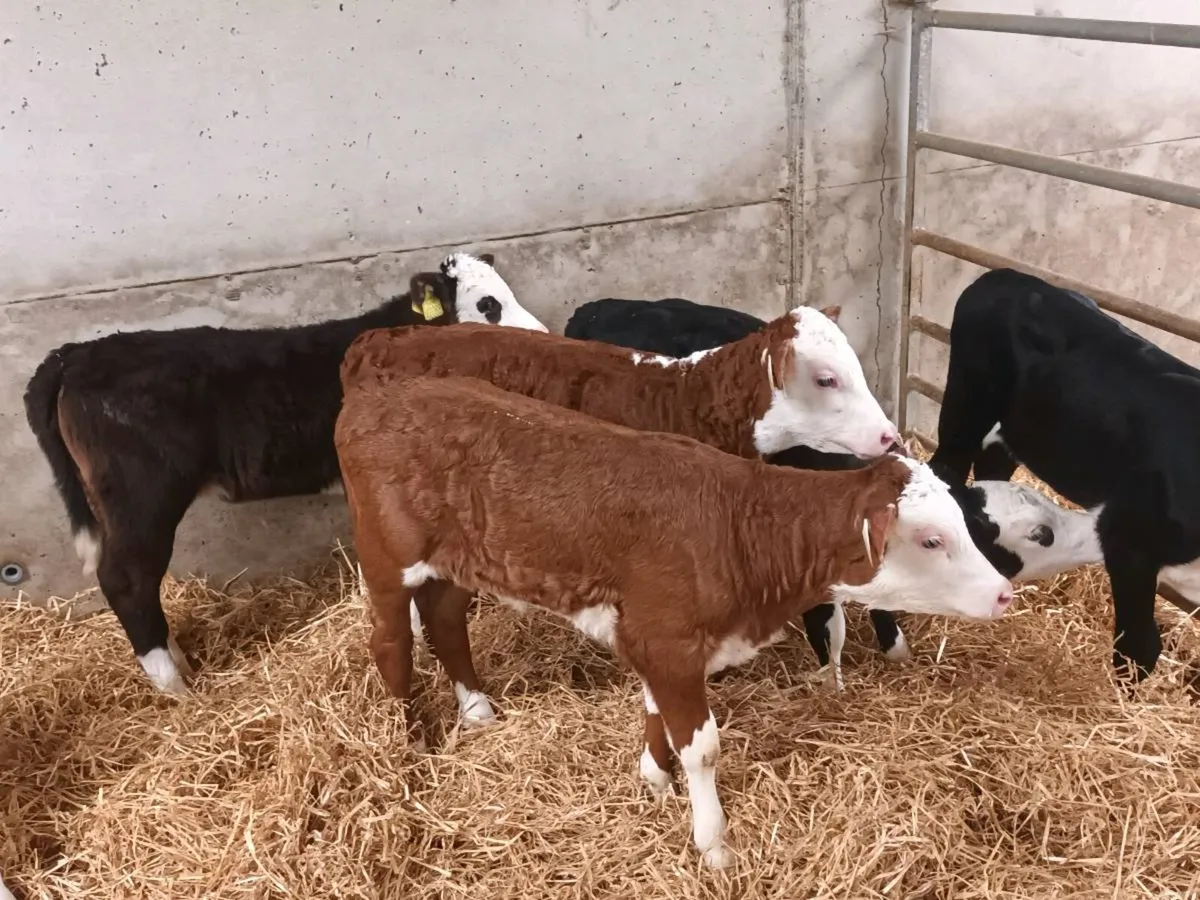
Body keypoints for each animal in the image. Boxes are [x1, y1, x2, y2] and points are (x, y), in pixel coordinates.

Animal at [22, 252, 547, 696]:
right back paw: (178, 691)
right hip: (142, 496)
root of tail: (72, 355)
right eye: (487, 304)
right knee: (127, 580)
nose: (544, 337)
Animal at [333, 373, 1016, 869]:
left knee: (446, 619)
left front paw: (654, 778)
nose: (1004, 593)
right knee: (390, 643)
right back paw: (409, 742)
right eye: (930, 539)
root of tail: (371, 397)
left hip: (457, 560)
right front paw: (713, 844)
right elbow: (703, 749)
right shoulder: (668, 638)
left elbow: (654, 712)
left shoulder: (654, 636)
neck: (744, 525)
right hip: (386, 557)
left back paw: (475, 709)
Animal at [340, 305, 902, 722]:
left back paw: (476, 709)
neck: (688, 400)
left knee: (444, 615)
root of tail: (375, 340)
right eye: (826, 379)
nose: (888, 436)